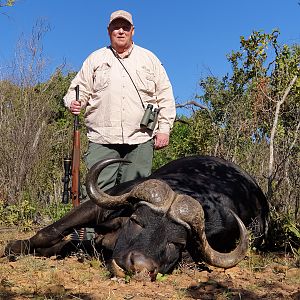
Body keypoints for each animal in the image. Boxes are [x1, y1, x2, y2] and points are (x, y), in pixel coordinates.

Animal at [4, 156, 268, 280]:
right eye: (137, 221)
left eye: (176, 243)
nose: (139, 266)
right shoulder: (99, 206)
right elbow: (52, 231)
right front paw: (16, 247)